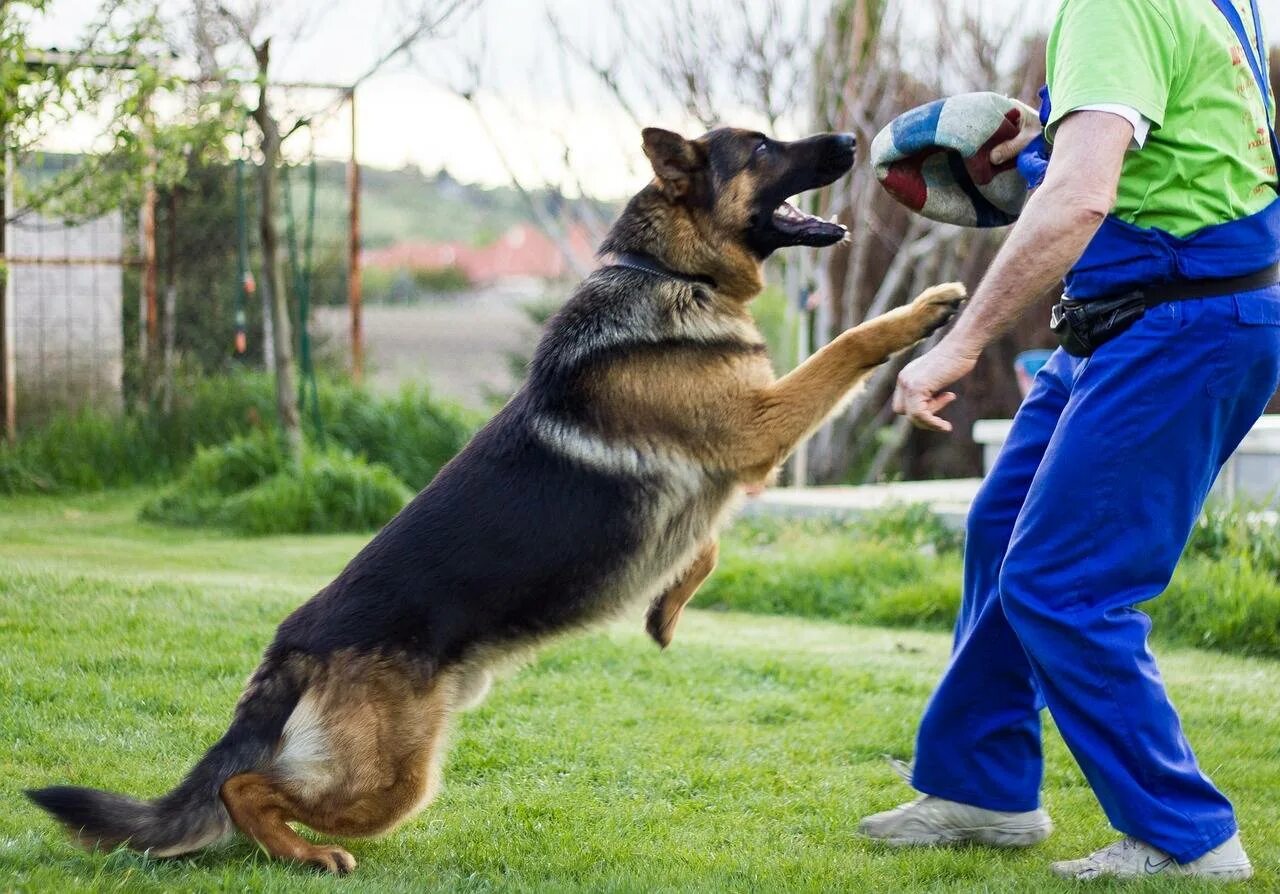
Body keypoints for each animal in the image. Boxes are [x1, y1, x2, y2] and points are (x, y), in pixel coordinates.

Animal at [24, 125, 962, 870]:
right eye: (764, 147)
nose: (851, 140)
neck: (665, 270)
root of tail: (293, 640)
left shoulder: (737, 460)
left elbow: (707, 542)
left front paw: (667, 606)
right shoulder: (758, 428)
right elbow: (847, 346)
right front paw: (923, 311)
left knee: (250, 787)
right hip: (392, 779)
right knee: (245, 788)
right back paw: (305, 853)